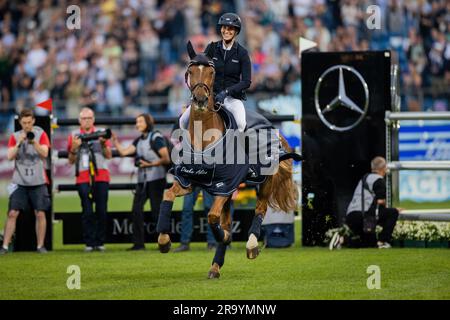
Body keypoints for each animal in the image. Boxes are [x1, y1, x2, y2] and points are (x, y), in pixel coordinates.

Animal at [156, 42, 298, 278]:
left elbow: (213, 217)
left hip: (264, 181)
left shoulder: (226, 186)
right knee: (229, 220)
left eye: (211, 72)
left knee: (260, 209)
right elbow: (167, 196)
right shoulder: (191, 181)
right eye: (190, 71)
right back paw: (215, 266)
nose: (201, 100)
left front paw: (223, 237)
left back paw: (251, 246)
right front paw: (164, 241)